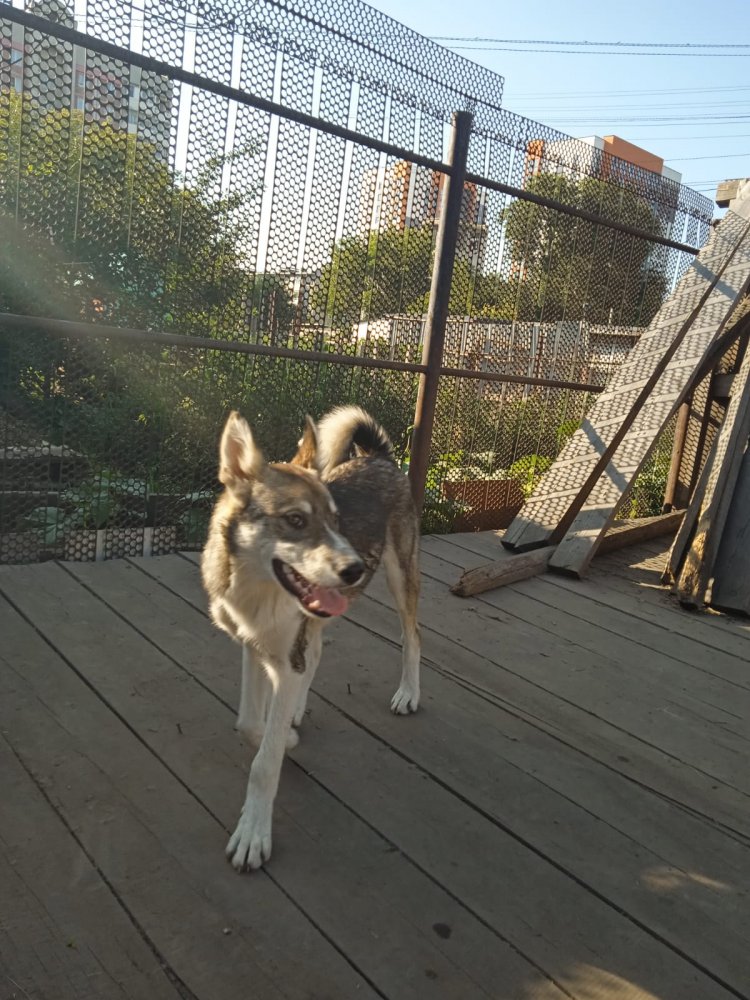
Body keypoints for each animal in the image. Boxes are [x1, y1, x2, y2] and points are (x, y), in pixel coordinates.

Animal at [201, 406, 421, 871]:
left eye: (336, 522)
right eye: (296, 520)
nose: (356, 568)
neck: (258, 591)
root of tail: (377, 456)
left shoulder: (283, 657)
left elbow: (264, 763)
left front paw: (253, 833)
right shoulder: (255, 647)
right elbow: (249, 723)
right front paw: (285, 732)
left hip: (402, 580)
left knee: (413, 637)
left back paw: (408, 693)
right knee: (316, 653)